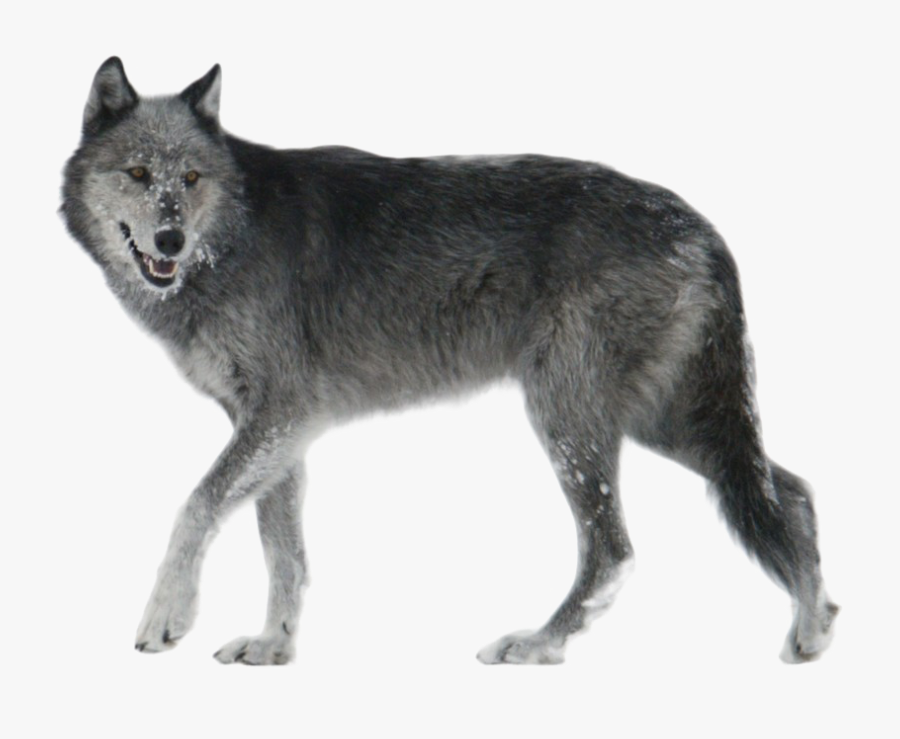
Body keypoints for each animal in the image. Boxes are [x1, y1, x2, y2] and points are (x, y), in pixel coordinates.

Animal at [61, 57, 837, 666]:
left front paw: (167, 617)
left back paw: (538, 644)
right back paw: (813, 630)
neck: (234, 236)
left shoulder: (282, 412)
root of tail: (701, 225)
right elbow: (282, 548)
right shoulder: (275, 428)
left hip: (573, 419)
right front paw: (273, 646)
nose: (169, 239)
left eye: (191, 178)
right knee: (792, 491)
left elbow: (196, 505)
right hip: (665, 423)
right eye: (139, 173)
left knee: (614, 549)